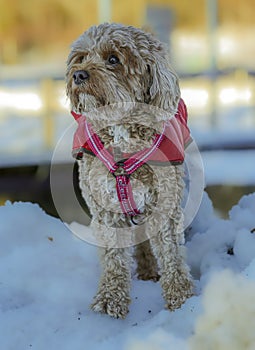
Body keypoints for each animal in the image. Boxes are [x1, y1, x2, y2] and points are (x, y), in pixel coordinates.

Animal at [65, 21, 193, 318]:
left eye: (113, 59)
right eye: (81, 57)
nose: (78, 74)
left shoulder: (165, 204)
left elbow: (171, 254)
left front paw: (181, 297)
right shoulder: (105, 208)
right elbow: (113, 257)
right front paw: (110, 298)